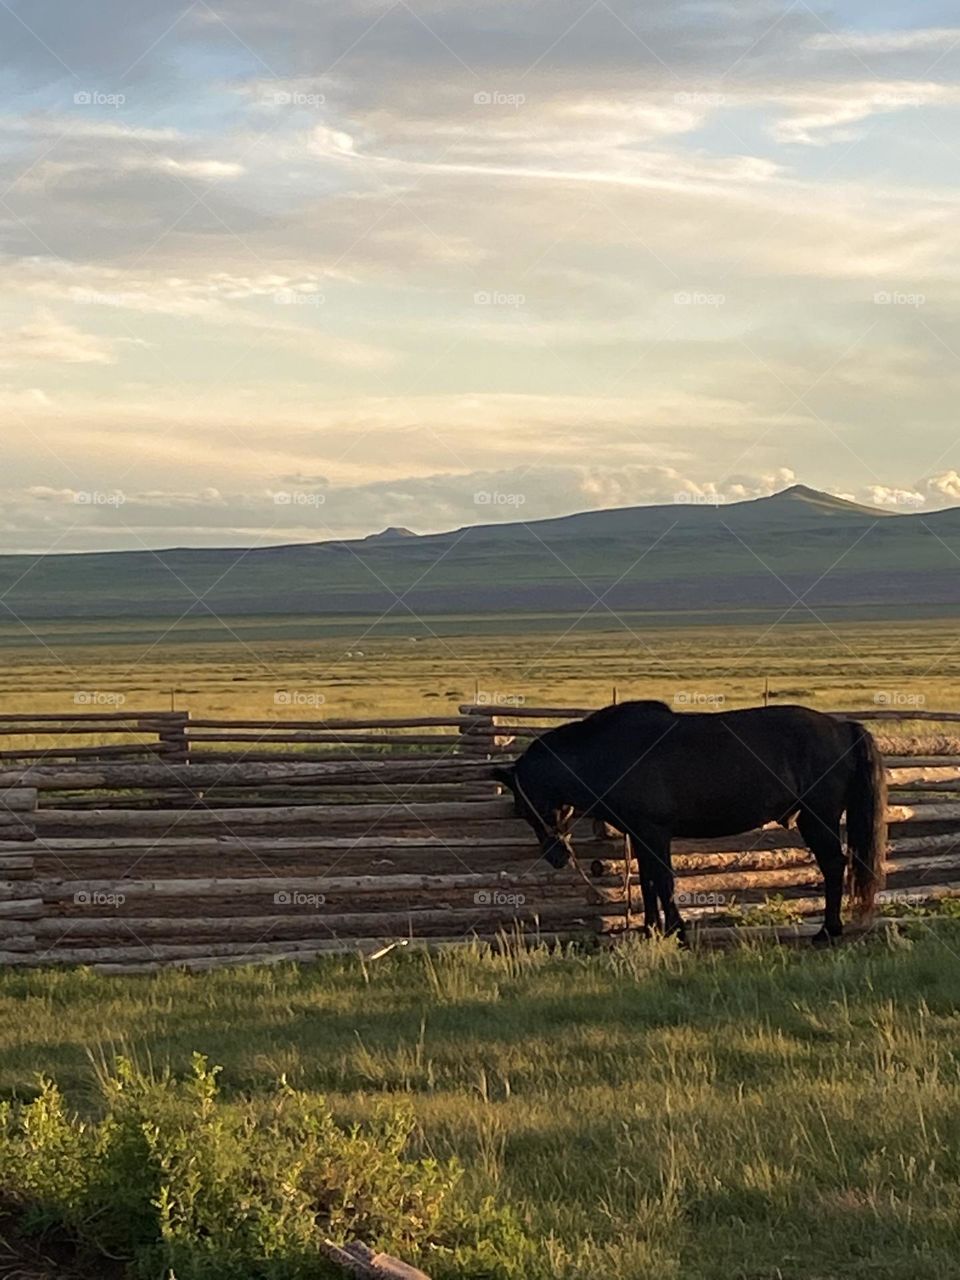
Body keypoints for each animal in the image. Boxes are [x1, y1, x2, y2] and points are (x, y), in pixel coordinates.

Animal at [493, 701, 887, 945]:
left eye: (527, 806)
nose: (557, 857)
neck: (612, 752)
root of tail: (842, 728)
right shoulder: (639, 834)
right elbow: (648, 882)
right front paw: (652, 930)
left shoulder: (655, 832)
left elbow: (664, 880)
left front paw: (677, 932)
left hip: (818, 818)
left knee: (834, 865)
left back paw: (828, 931)